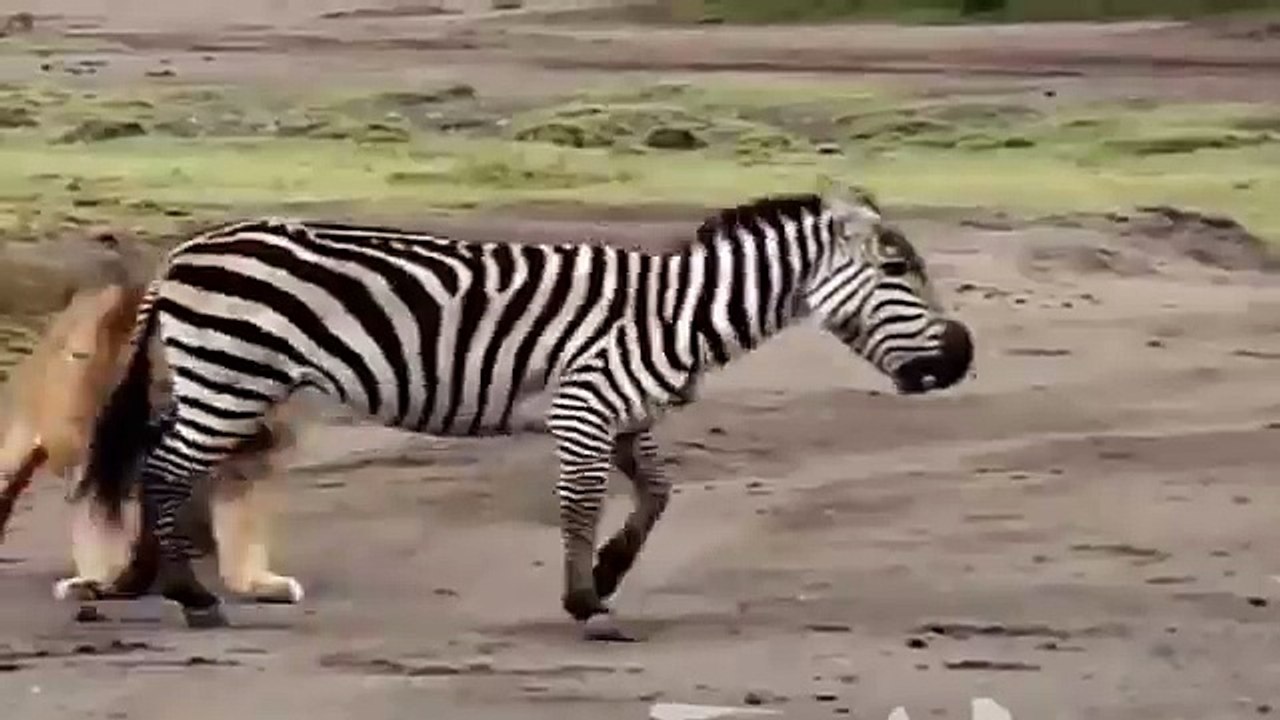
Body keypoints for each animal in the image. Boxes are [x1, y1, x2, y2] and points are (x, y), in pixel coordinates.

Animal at [0, 275, 304, 605]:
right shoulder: (96, 459)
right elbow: (98, 526)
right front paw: (98, 582)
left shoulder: (238, 461)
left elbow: (241, 530)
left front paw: (257, 584)